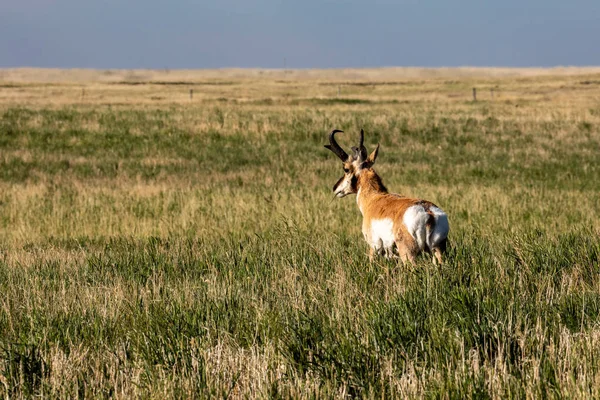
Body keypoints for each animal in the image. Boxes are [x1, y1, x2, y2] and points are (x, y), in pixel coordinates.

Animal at [326, 130, 448, 264]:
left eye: (346, 169)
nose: (335, 188)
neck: (374, 198)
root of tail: (428, 213)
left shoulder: (374, 246)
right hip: (438, 251)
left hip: (408, 253)